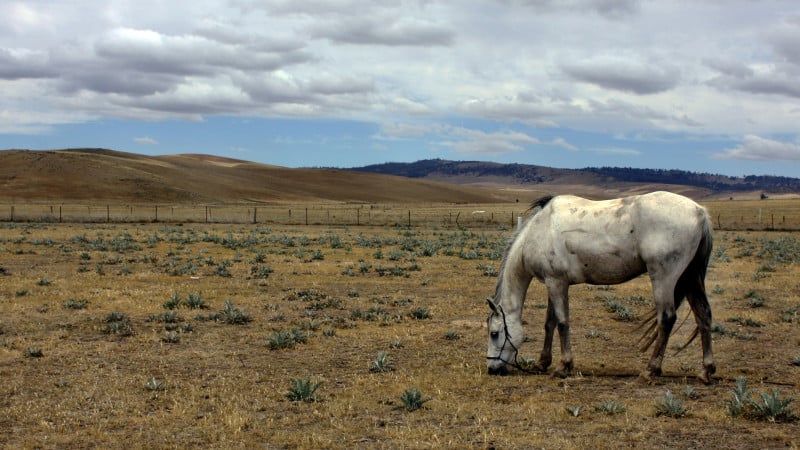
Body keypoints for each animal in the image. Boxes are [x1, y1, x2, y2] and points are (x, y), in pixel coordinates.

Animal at [488, 190, 720, 384]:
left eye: (494, 333)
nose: (492, 369)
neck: (539, 231)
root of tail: (699, 211)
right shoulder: (552, 283)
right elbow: (550, 323)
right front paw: (542, 362)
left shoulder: (556, 282)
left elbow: (562, 323)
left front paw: (563, 366)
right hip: (690, 278)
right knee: (703, 315)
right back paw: (705, 371)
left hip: (664, 278)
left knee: (667, 319)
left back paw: (650, 370)